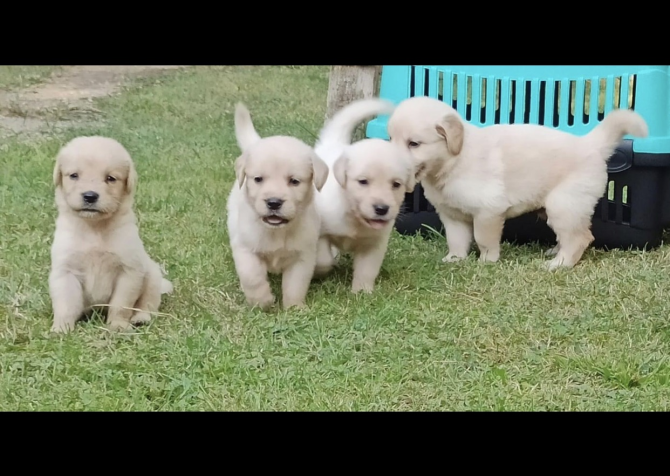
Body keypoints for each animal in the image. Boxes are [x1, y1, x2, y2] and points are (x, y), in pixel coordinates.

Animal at [50, 136, 175, 332]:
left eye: (111, 178)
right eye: (74, 175)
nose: (90, 196)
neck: (94, 228)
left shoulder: (129, 271)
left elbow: (121, 304)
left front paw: (118, 326)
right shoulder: (65, 270)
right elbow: (66, 304)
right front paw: (61, 328)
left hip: (152, 275)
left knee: (148, 303)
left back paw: (141, 318)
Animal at [227, 103, 330, 308]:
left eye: (294, 181)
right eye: (258, 179)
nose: (273, 202)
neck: (278, 232)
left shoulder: (303, 256)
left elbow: (296, 284)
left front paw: (295, 308)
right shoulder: (245, 248)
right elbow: (252, 277)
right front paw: (262, 301)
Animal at [314, 97, 414, 292]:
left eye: (396, 184)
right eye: (363, 181)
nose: (381, 209)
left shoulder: (374, 244)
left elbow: (367, 270)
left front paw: (361, 292)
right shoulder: (320, 232)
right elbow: (322, 258)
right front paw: (321, 270)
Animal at [388, 95, 652, 270]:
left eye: (414, 143)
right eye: (391, 138)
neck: (453, 161)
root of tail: (590, 144)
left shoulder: (488, 211)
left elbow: (484, 239)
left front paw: (486, 261)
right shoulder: (452, 215)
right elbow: (456, 240)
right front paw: (454, 259)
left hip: (564, 205)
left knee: (580, 238)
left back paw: (559, 264)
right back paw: (555, 251)